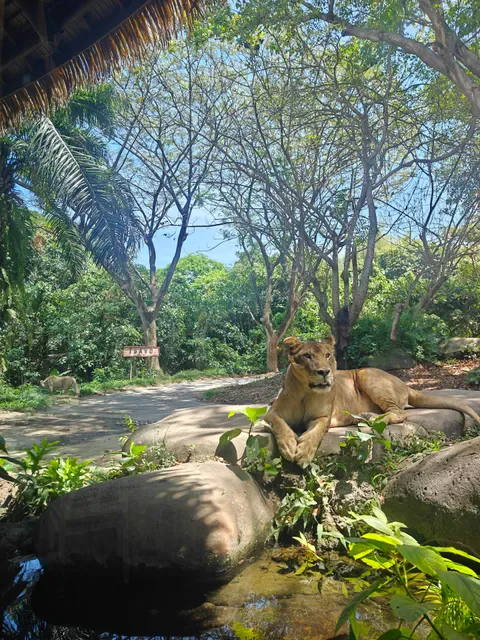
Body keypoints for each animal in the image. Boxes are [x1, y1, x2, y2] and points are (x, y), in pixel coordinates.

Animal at [264, 335, 480, 467]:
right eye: (307, 356)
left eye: (327, 355)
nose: (324, 372)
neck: (305, 392)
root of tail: (404, 384)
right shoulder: (271, 412)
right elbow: (279, 424)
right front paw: (288, 445)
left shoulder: (323, 417)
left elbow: (314, 433)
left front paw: (303, 454)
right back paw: (361, 417)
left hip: (365, 374)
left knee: (399, 413)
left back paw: (370, 418)